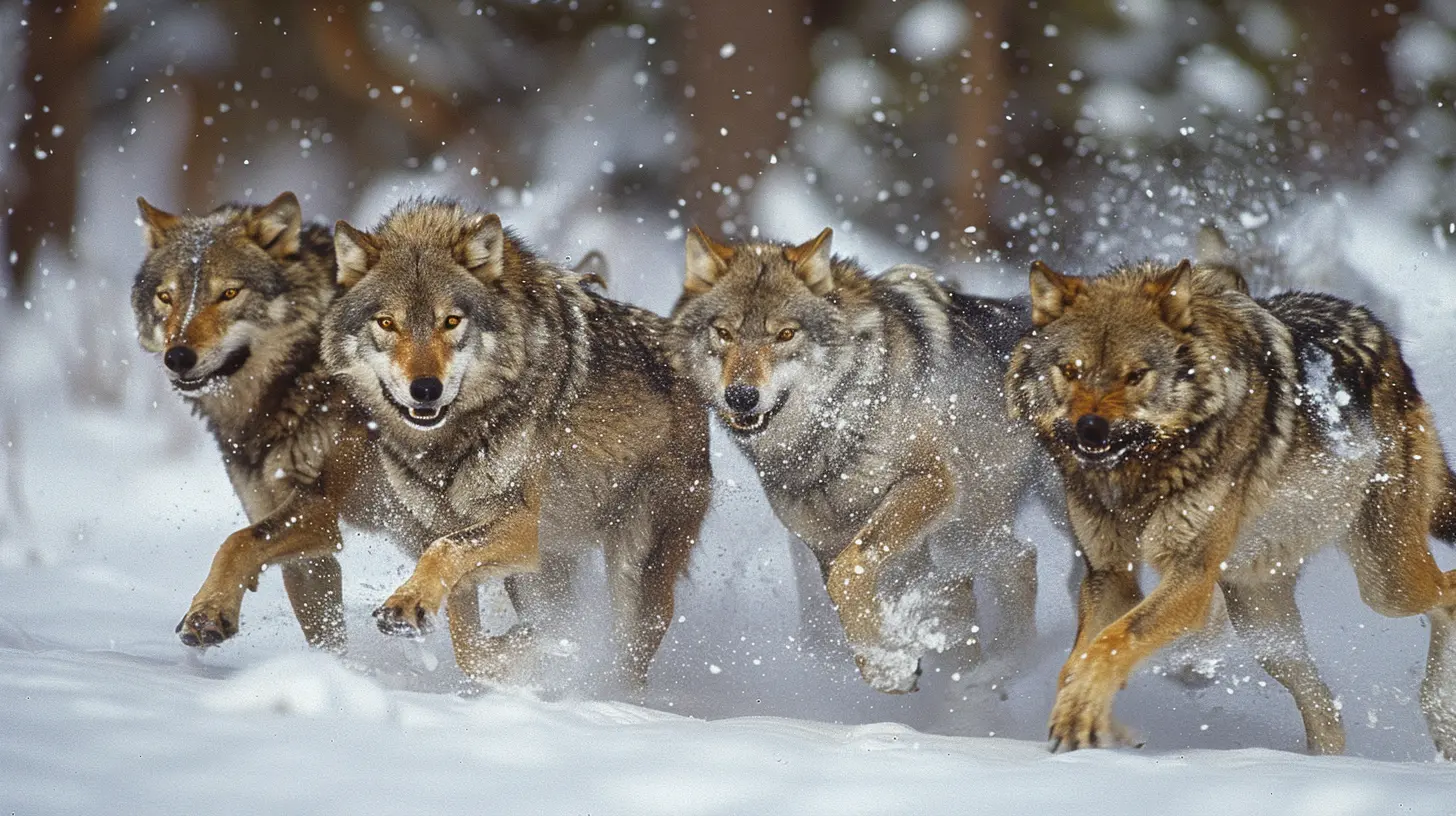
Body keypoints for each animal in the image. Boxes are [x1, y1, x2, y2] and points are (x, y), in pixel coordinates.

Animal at [320, 199, 711, 687]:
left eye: (451, 321)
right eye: (388, 324)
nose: (425, 390)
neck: (447, 448)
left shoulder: (520, 529)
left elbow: (443, 554)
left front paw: (406, 606)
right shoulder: (447, 529)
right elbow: (466, 641)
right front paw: (519, 650)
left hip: (633, 569)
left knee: (629, 655)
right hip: (543, 573)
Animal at [669, 227, 1044, 694]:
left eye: (785, 335)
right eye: (723, 333)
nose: (740, 396)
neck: (834, 431)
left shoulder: (932, 482)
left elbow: (850, 572)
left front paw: (890, 667)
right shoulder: (825, 542)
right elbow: (843, 592)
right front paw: (889, 666)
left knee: (1028, 563)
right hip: (964, 536)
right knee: (1019, 561)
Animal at [1008, 256, 1456, 756]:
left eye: (1135, 375)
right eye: (1071, 370)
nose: (1090, 429)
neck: (1143, 471)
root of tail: (1384, 335)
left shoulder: (1192, 577)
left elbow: (1112, 643)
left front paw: (1084, 718)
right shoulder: (1110, 574)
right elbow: (1083, 658)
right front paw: (1086, 721)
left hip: (1386, 585)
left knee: (1449, 595)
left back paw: (1442, 719)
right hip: (1264, 627)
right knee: (1326, 710)